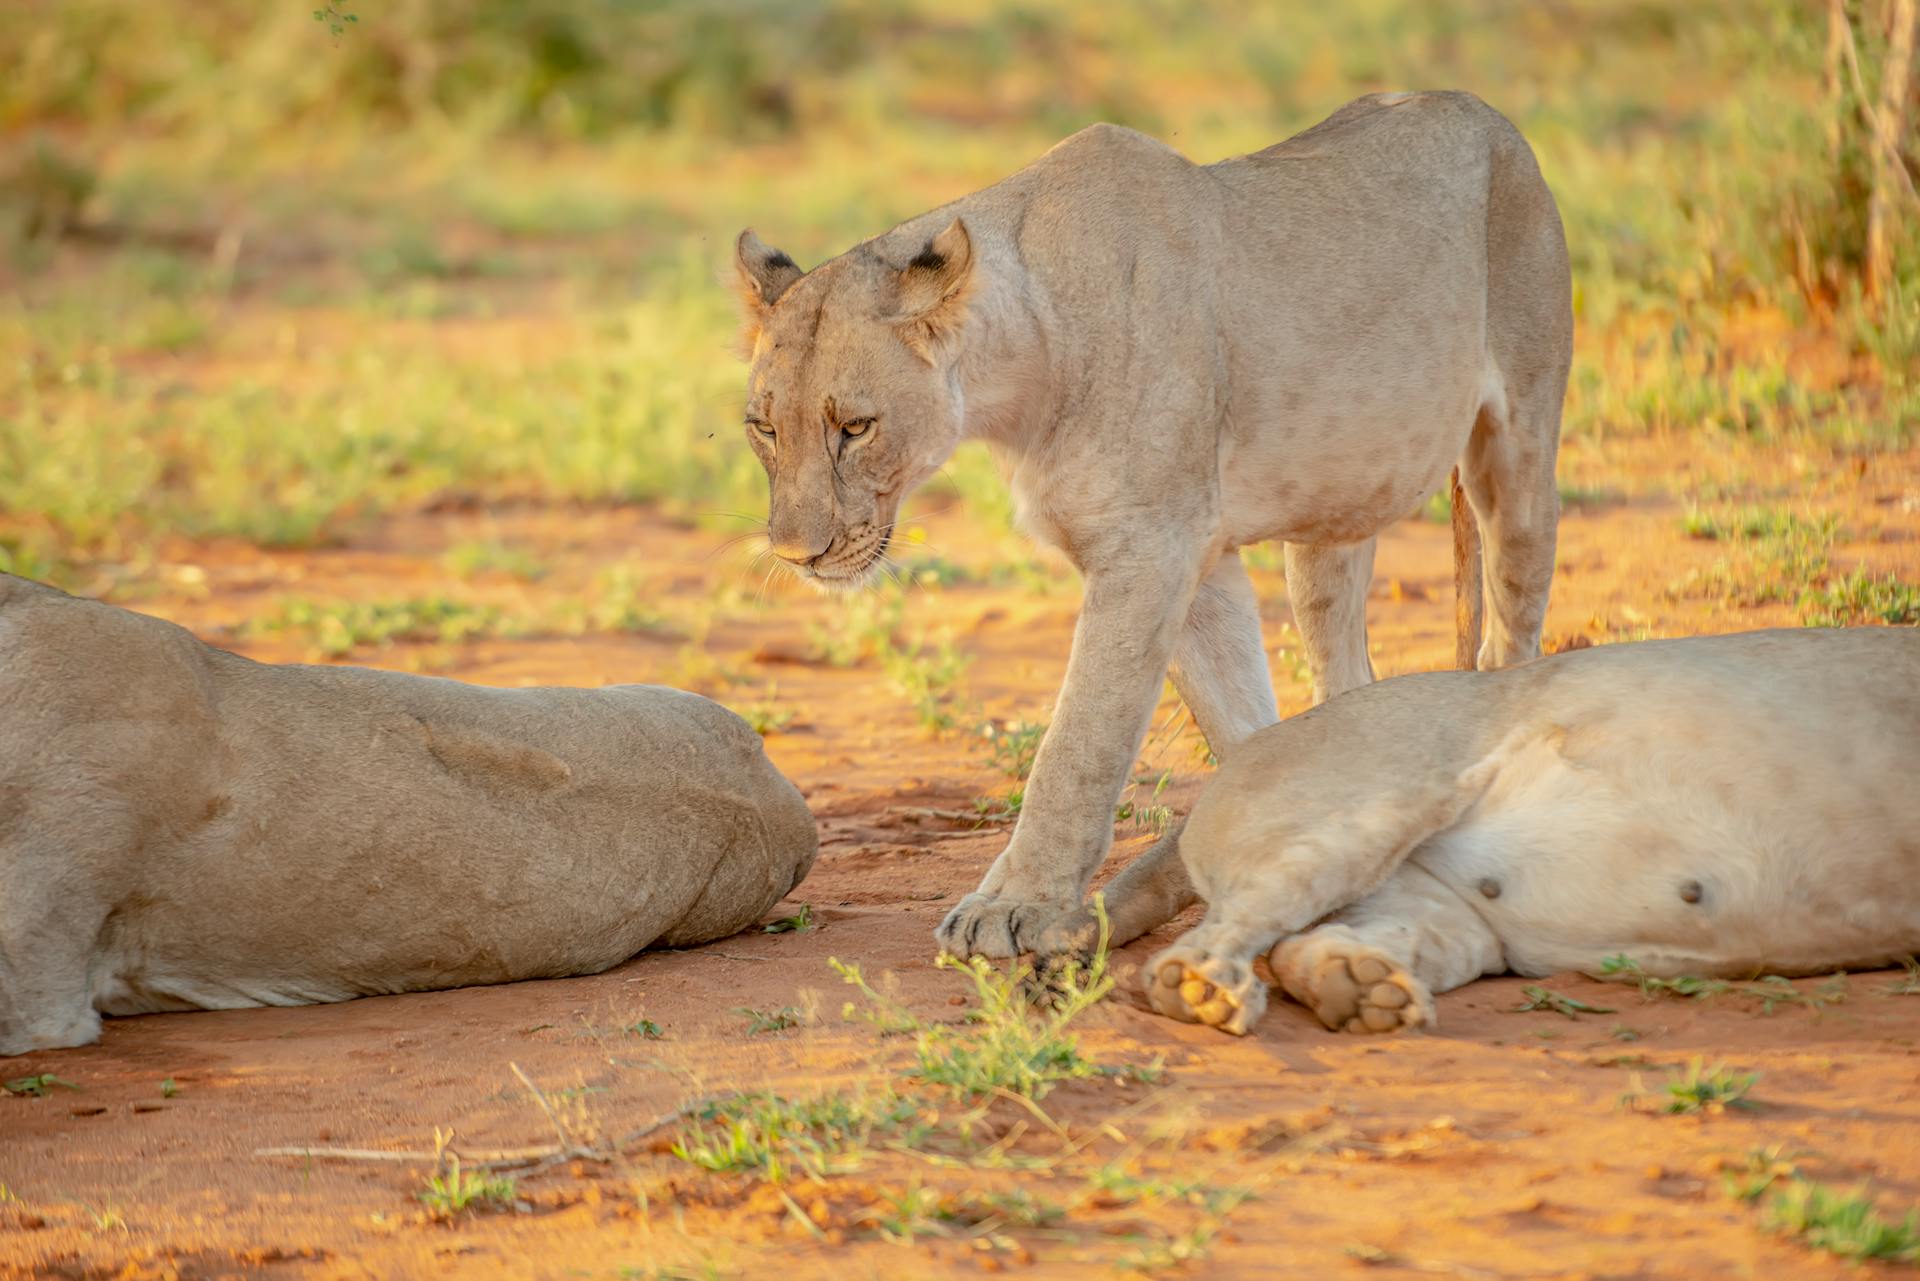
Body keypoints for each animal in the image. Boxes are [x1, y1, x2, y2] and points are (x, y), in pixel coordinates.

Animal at [725, 90, 1566, 956]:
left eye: (856, 427)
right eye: (764, 427)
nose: (797, 553)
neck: (1016, 375)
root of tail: (1475, 104)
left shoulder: (1151, 544)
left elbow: (1079, 740)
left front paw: (1010, 906)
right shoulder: (1201, 554)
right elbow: (1243, 730)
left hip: (1521, 440)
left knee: (1511, 632)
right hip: (1330, 525)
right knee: (1346, 666)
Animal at [1128, 629, 1920, 1044]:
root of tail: (1245, 752)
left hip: (1444, 915)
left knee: (1321, 943)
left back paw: (1356, 991)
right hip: (1363, 811)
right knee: (1218, 934)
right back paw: (1200, 988)